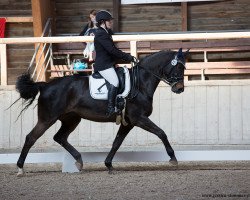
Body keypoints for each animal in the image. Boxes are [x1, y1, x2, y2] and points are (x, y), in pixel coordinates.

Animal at [15, 47, 188, 176]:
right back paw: (20, 168)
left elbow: (117, 142)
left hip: (71, 119)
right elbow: (161, 133)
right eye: (179, 66)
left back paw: (79, 161)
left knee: (60, 137)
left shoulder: (128, 122)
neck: (140, 84)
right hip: (47, 118)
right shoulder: (139, 118)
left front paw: (109, 164)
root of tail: (45, 85)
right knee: (31, 138)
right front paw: (173, 158)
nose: (180, 89)